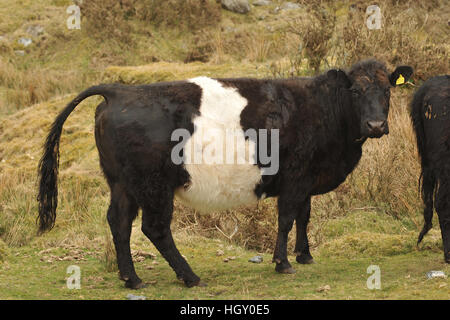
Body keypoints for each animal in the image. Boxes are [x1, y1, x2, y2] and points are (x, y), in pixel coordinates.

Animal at [37, 59, 412, 288]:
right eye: (356, 91)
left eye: (388, 91)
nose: (375, 125)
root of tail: (118, 90)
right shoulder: (295, 177)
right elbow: (287, 218)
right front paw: (283, 262)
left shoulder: (307, 179)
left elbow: (304, 216)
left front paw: (305, 256)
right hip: (154, 185)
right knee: (154, 228)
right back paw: (190, 276)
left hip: (122, 183)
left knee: (119, 222)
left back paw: (132, 278)